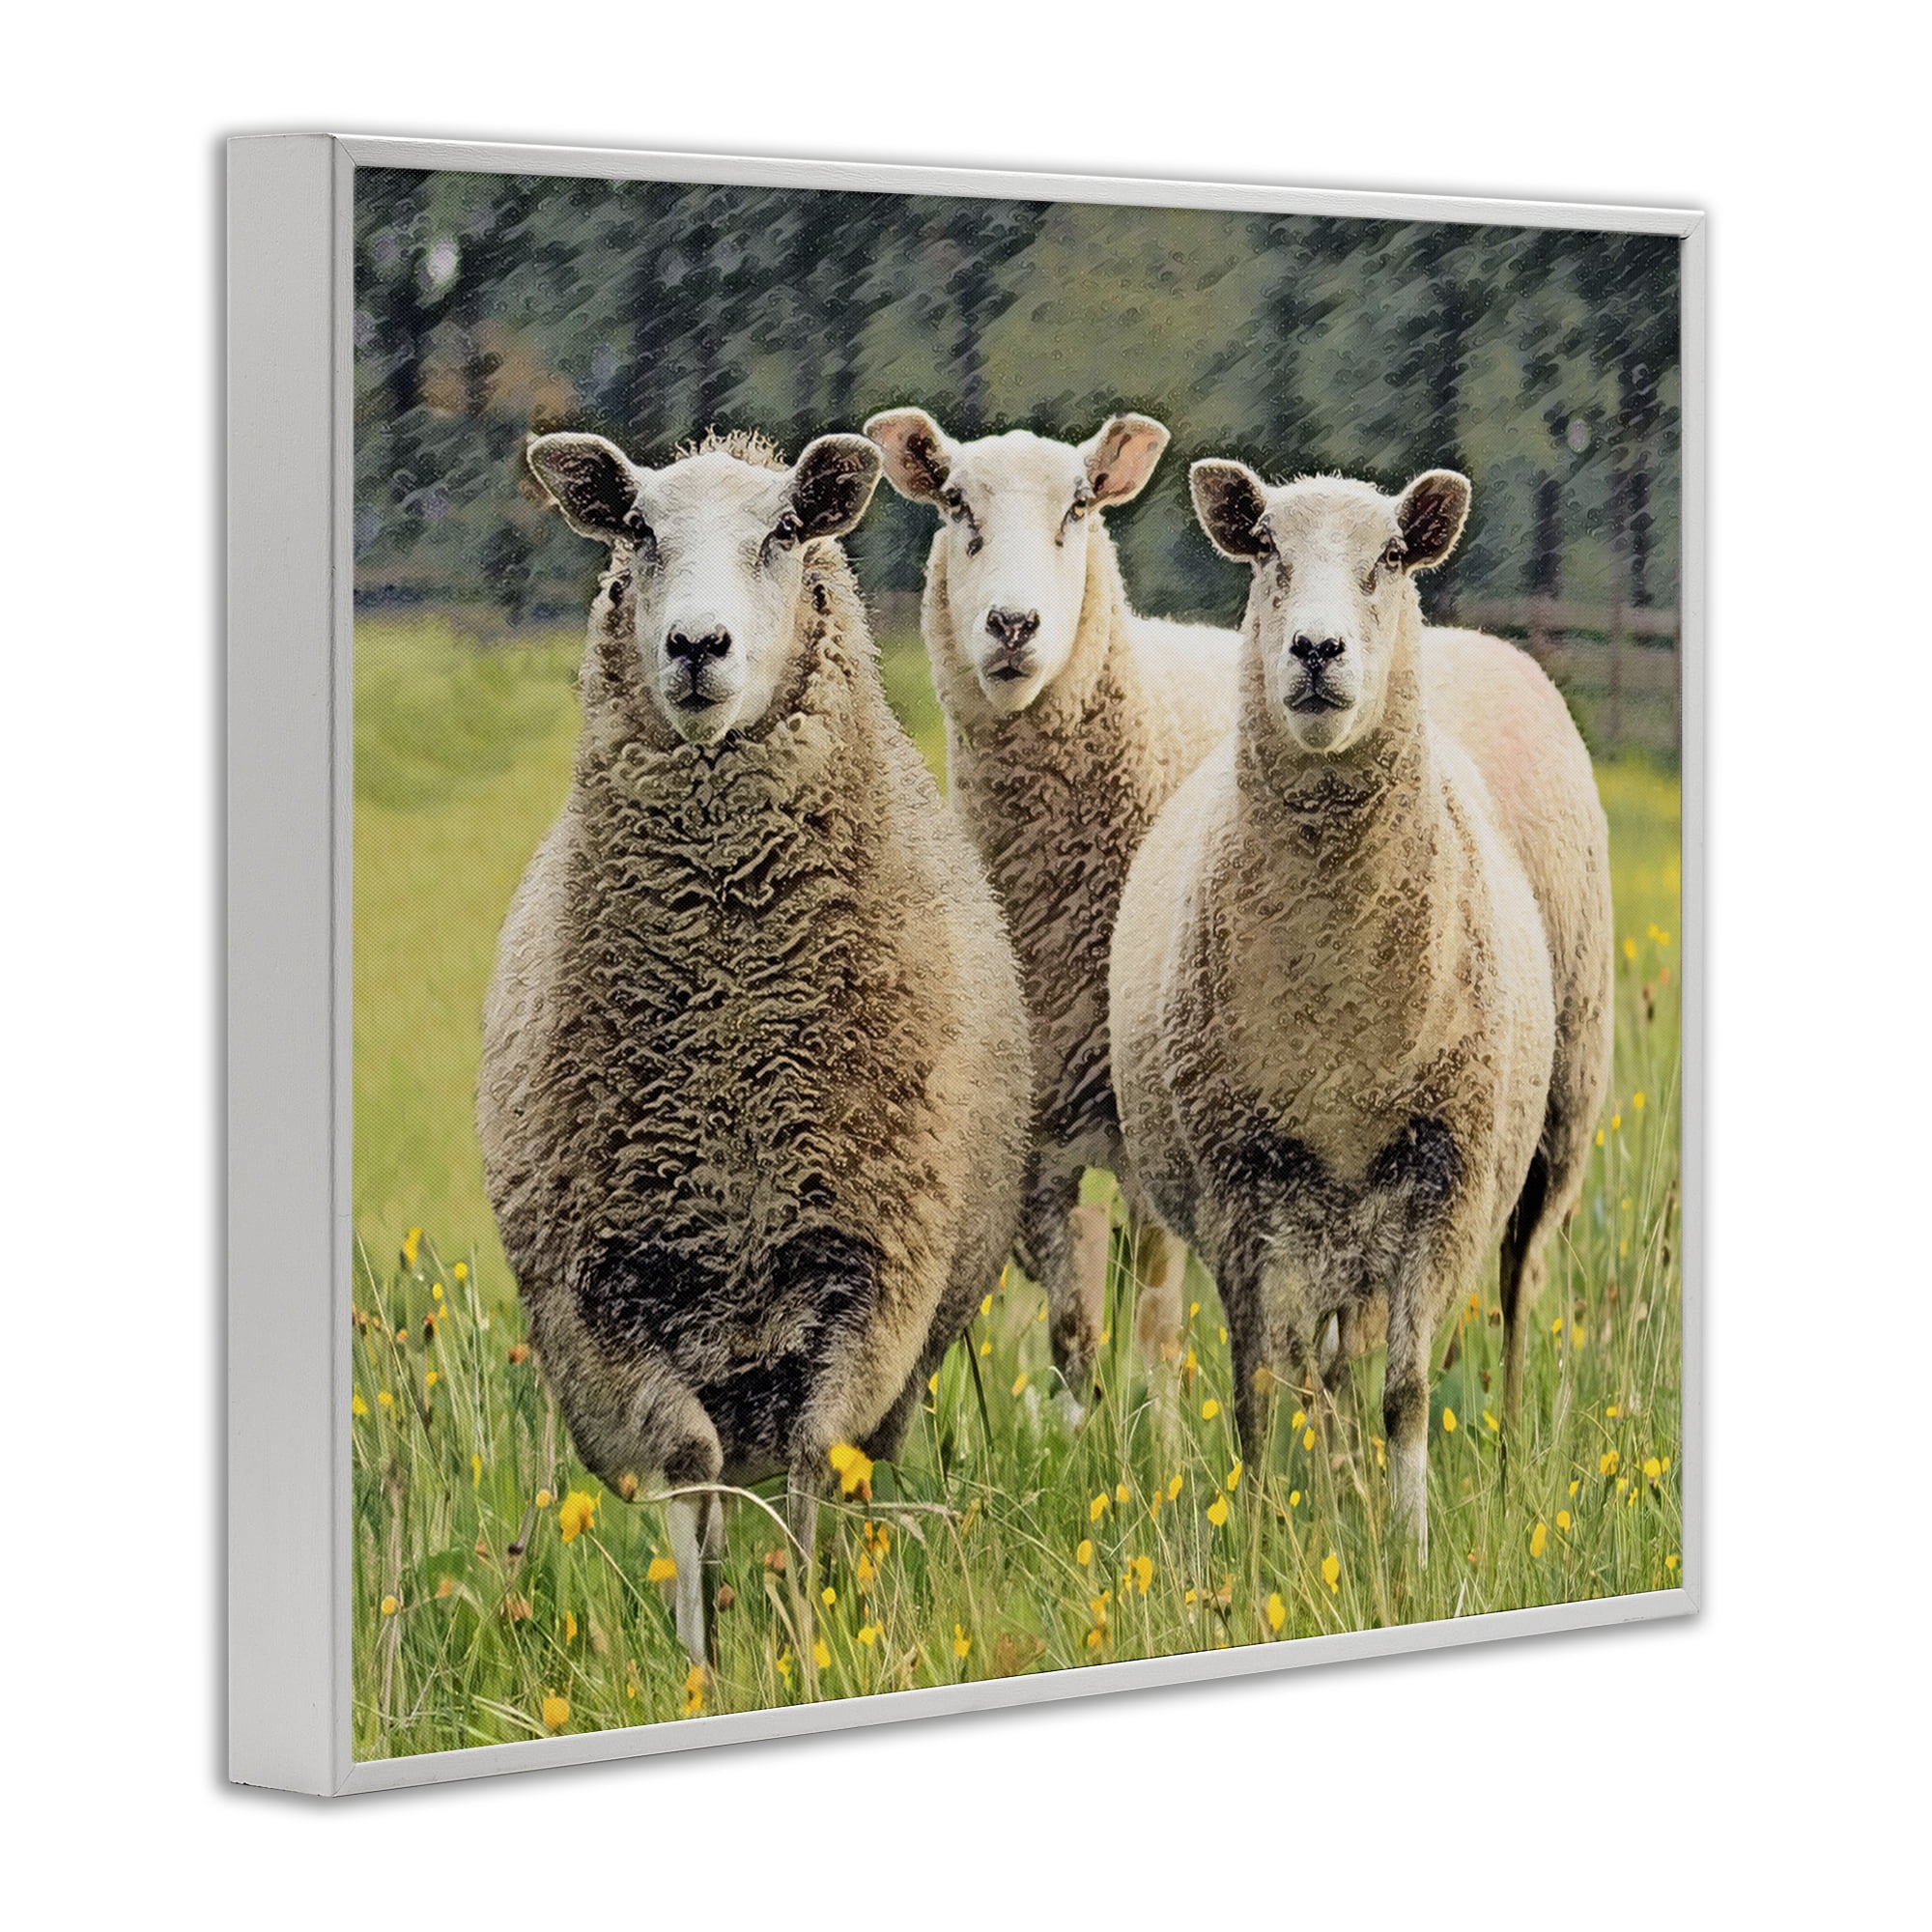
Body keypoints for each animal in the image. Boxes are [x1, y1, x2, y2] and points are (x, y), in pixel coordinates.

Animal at [479, 426, 1030, 1669]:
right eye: (637, 529)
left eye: (782, 531)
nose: (696, 645)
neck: (731, 1040)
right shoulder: (611, 1299)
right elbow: (688, 1472)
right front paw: (705, 1662)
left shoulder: (868, 1277)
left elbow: (821, 1459)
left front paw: (806, 1633)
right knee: (729, 1474)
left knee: (836, 1470)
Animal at [864, 408, 1241, 1400]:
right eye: (956, 504)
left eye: (1079, 506)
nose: (1012, 623)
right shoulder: (1035, 1142)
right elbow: (1075, 1334)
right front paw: (1087, 1426)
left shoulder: (1153, 1134)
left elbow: (1154, 1322)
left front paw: (1159, 1432)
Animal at [1109, 460, 1613, 1557]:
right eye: (1265, 550)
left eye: (1388, 557)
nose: (1315, 650)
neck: (1337, 1004)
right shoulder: (1239, 1183)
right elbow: (1260, 1388)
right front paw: (1263, 1538)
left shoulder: (1445, 1171)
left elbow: (1408, 1392)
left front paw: (1409, 1548)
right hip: (1321, 1219)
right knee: (1320, 1369)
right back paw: (1328, 1487)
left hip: (1551, 1126)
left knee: (1516, 1293)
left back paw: (1508, 1455)